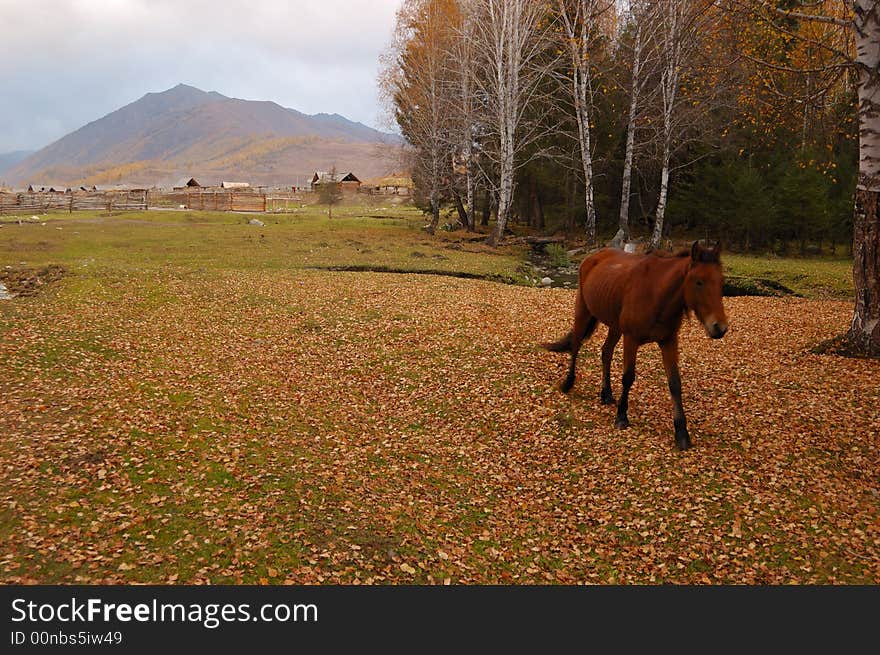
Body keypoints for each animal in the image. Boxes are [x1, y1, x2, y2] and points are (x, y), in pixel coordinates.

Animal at [544, 241, 728, 452]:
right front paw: (621, 417)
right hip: (583, 310)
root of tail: (593, 257)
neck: (656, 295)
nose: (720, 328)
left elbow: (675, 383)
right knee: (576, 346)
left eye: (721, 281)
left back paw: (606, 394)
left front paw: (682, 433)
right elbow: (628, 378)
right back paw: (568, 383)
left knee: (606, 352)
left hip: (615, 326)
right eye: (699, 282)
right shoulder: (631, 339)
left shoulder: (669, 341)